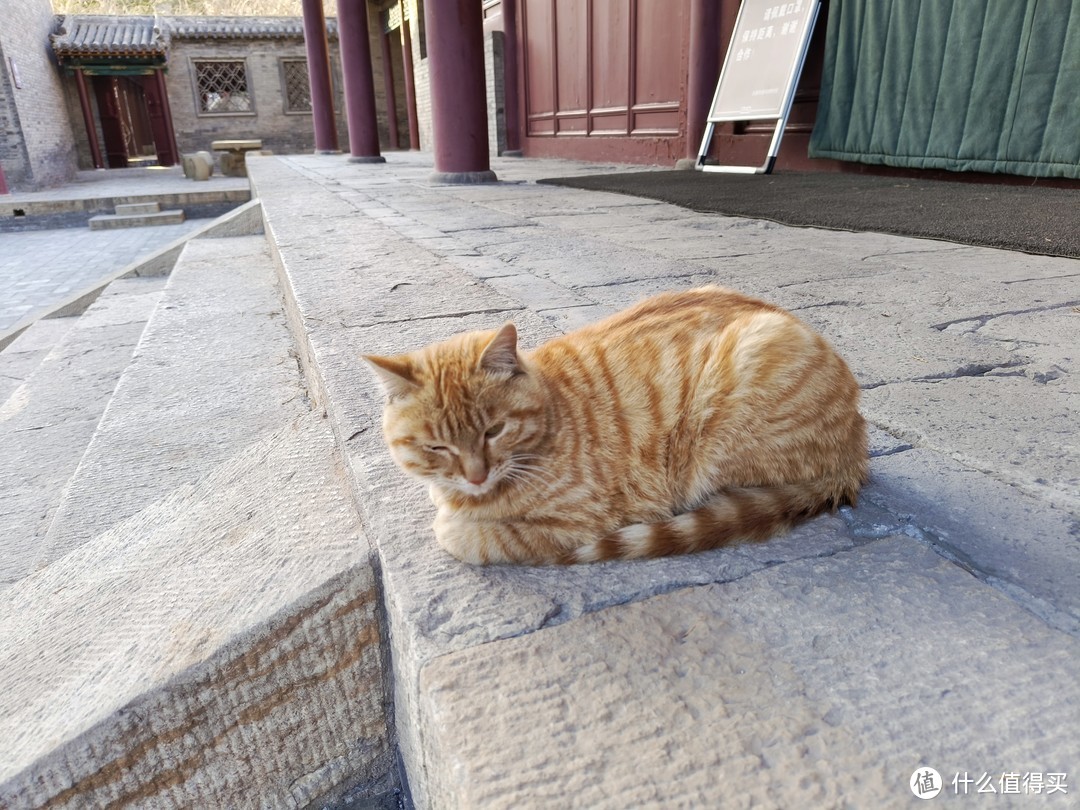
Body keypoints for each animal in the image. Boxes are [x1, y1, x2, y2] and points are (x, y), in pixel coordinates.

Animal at [365, 289, 868, 565]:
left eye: (494, 431)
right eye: (436, 447)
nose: (475, 476)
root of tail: (856, 451)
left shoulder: (579, 522)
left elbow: (488, 537)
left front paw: (455, 526)